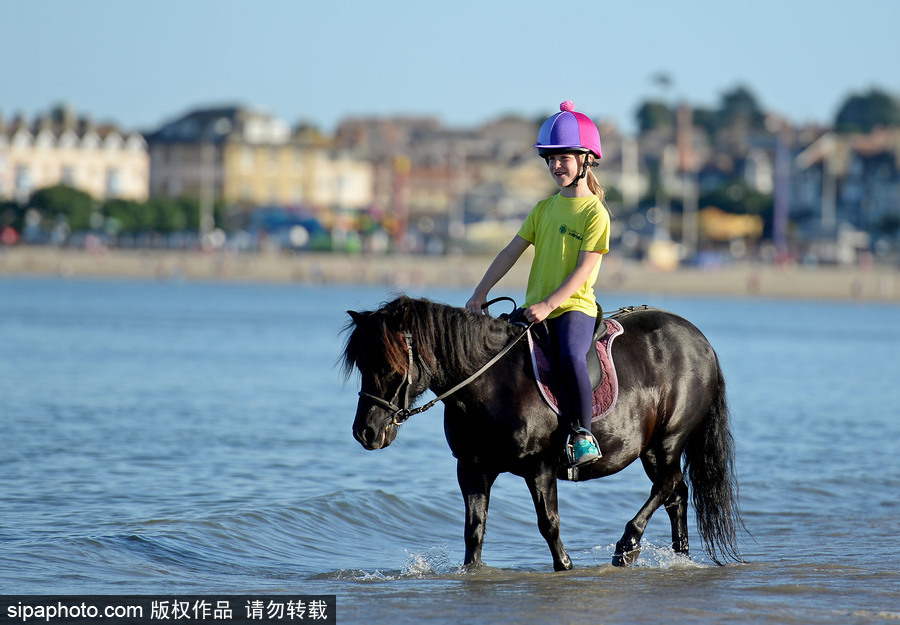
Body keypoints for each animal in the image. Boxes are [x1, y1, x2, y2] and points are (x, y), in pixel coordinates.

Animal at [342, 294, 740, 568]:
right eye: (361, 363)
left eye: (390, 366)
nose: (366, 432)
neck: (491, 384)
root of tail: (699, 340)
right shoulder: (472, 468)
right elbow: (474, 531)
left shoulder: (540, 466)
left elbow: (548, 524)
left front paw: (566, 565)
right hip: (653, 448)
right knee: (676, 493)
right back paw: (679, 556)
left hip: (668, 438)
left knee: (667, 485)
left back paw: (628, 545)